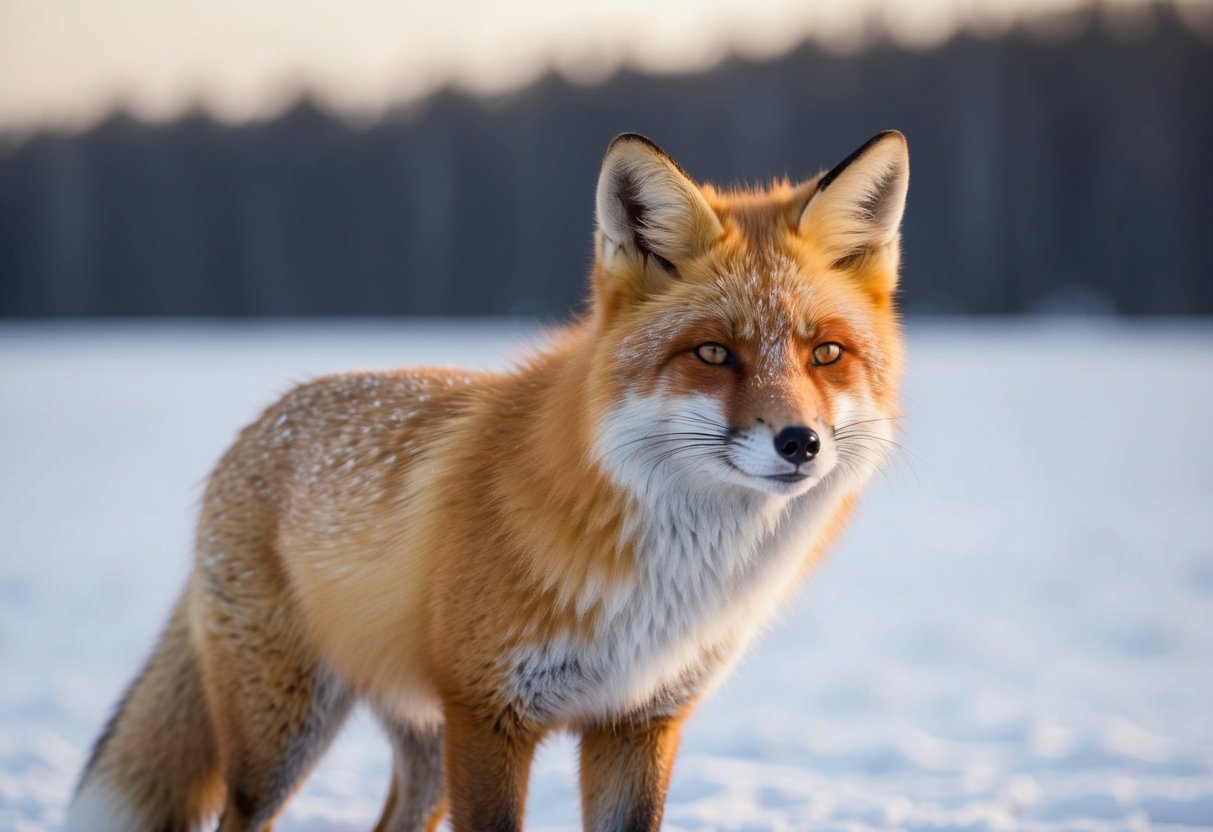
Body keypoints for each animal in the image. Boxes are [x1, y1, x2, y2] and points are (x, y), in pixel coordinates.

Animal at [65, 129, 909, 832]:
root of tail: (263, 417)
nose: (799, 444)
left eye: (825, 354)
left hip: (423, 746)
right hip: (284, 738)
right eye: (712, 354)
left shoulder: (637, 721)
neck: (666, 575)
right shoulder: (489, 714)